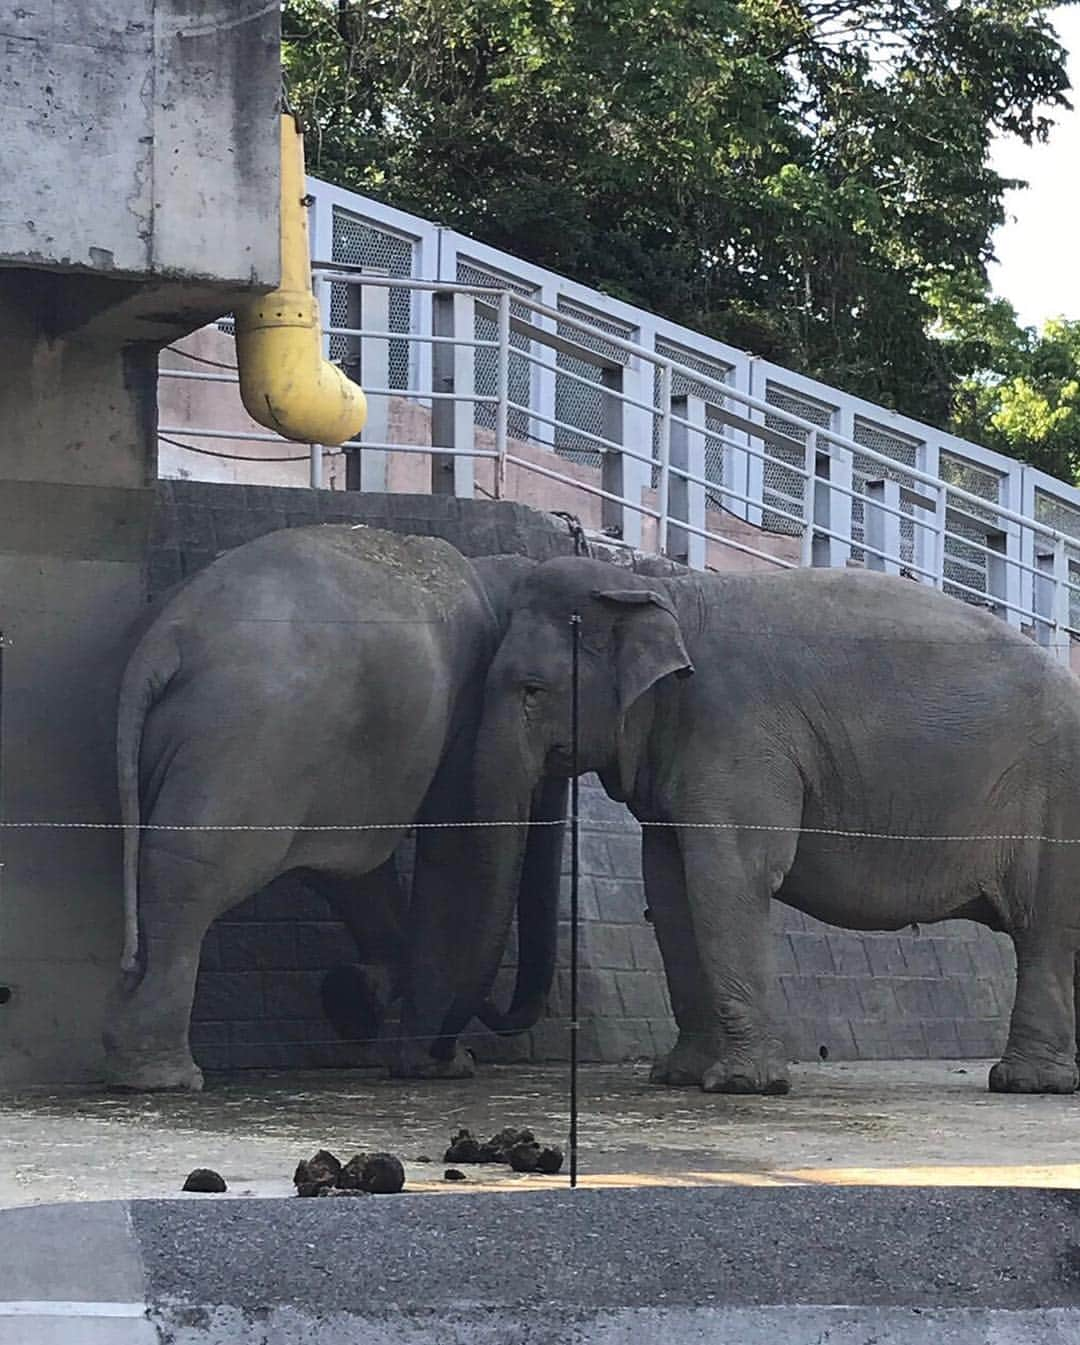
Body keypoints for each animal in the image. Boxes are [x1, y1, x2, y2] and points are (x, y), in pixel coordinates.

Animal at [103, 524, 564, 1092]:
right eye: (535, 697)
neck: (492, 573)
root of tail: (163, 643)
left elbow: (356, 874)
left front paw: (359, 999)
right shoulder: (468, 711)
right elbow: (452, 850)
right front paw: (439, 1064)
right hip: (244, 741)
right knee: (190, 872)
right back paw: (164, 1076)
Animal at [443, 556, 1080, 1092]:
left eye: (532, 690)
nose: (466, 1053)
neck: (658, 590)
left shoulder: (736, 733)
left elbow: (730, 875)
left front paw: (744, 1084)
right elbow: (668, 887)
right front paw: (677, 1076)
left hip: (1056, 798)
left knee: (1043, 926)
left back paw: (1025, 1083)